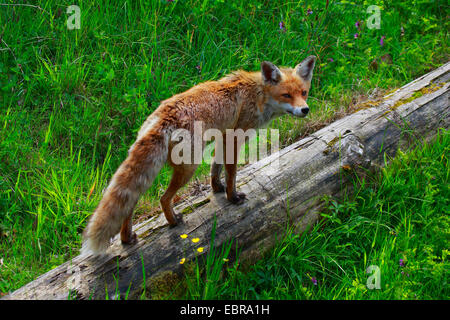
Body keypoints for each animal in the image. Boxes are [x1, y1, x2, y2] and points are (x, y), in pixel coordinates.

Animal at [81, 55, 314, 255]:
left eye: (303, 92)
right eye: (286, 95)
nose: (305, 110)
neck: (257, 95)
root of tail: (163, 116)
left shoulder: (222, 137)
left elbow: (215, 168)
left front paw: (217, 188)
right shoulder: (234, 139)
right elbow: (231, 174)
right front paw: (232, 197)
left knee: (129, 205)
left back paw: (127, 238)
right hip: (188, 167)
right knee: (163, 198)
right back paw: (173, 221)